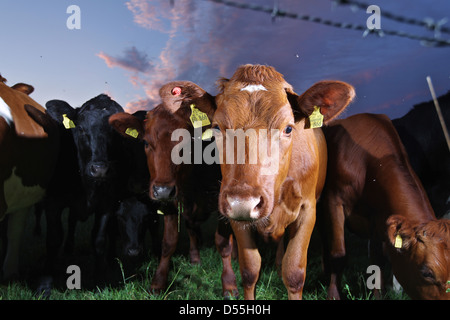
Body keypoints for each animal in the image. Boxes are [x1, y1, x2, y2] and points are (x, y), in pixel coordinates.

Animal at [109, 80, 237, 298]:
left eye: (188, 143)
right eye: (146, 142)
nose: (162, 190)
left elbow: (223, 243)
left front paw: (229, 284)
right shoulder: (170, 203)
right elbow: (168, 243)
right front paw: (158, 282)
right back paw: (195, 258)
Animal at [193, 63, 356, 298]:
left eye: (288, 128)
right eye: (217, 127)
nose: (244, 202)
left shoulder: (308, 210)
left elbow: (294, 273)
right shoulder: (234, 212)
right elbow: (250, 270)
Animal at [320, 113, 450, 300]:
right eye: (427, 273)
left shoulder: (379, 219)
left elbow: (378, 260)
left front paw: (377, 295)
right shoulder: (334, 201)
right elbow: (338, 254)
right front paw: (334, 295)